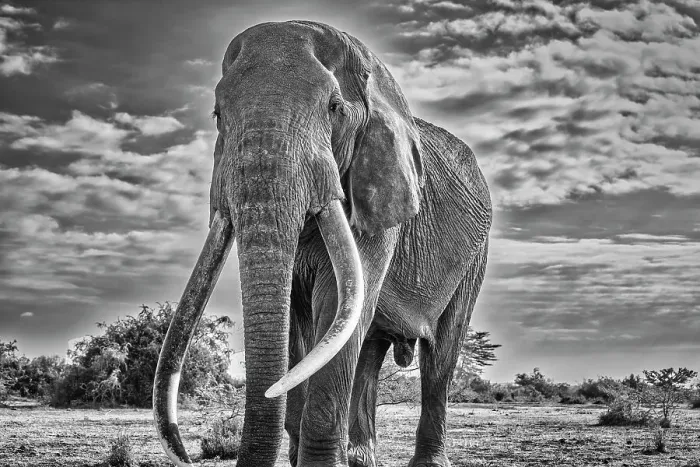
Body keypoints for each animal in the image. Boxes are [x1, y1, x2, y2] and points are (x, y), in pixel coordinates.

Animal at [153, 20, 492, 467]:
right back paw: (362, 460)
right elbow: (298, 322)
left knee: (441, 354)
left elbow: (336, 307)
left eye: (334, 108)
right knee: (369, 347)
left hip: (475, 258)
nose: (188, 456)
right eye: (217, 114)